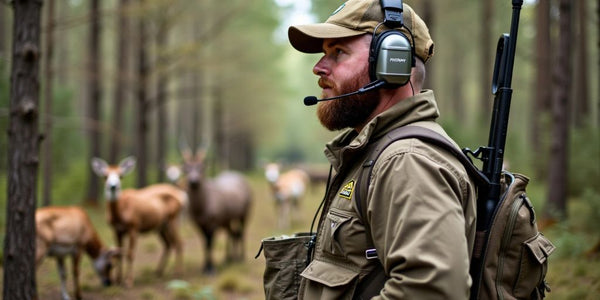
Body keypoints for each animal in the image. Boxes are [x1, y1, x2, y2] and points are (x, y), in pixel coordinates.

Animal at [91, 156, 188, 288]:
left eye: (121, 175)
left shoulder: (134, 228)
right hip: (161, 226)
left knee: (179, 243)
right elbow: (119, 254)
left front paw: (128, 281)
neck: (121, 212)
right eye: (105, 176)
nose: (113, 186)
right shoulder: (116, 230)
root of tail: (181, 196)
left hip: (173, 220)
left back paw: (178, 273)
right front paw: (118, 280)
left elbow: (130, 254)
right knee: (169, 244)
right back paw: (158, 271)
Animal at [177, 146, 254, 274]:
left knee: (241, 232)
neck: (202, 205)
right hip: (227, 220)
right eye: (186, 169)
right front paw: (204, 267)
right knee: (232, 233)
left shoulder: (213, 223)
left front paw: (211, 268)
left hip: (244, 214)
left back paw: (240, 257)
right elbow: (205, 243)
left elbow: (210, 243)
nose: (193, 181)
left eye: (201, 167)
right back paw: (228, 259)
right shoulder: (199, 224)